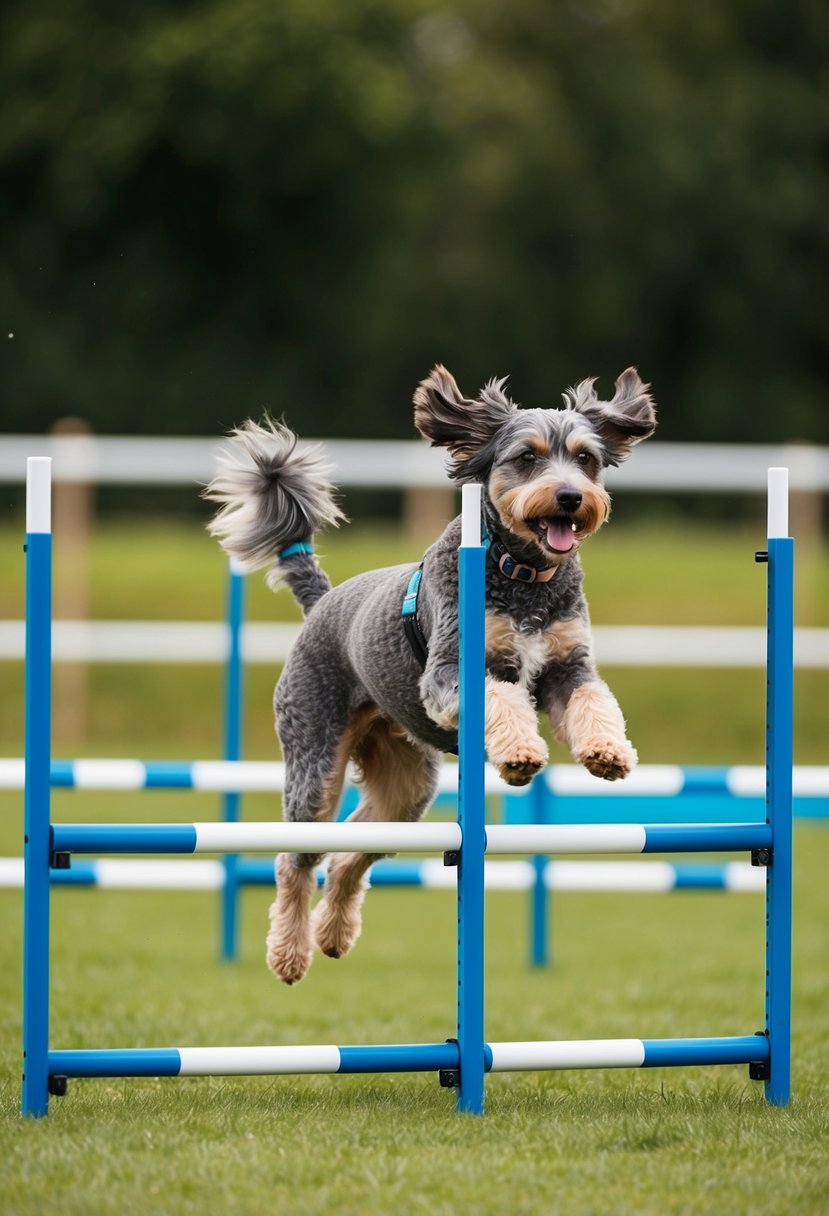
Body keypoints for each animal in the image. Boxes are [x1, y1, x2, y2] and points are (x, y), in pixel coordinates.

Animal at [205, 364, 651, 982]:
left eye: (586, 458)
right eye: (528, 457)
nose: (570, 497)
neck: (521, 573)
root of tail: (322, 603)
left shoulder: (567, 666)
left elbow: (594, 702)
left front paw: (607, 751)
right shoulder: (447, 673)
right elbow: (500, 698)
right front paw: (520, 753)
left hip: (407, 786)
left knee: (351, 852)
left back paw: (334, 935)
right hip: (314, 758)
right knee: (296, 857)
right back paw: (290, 953)